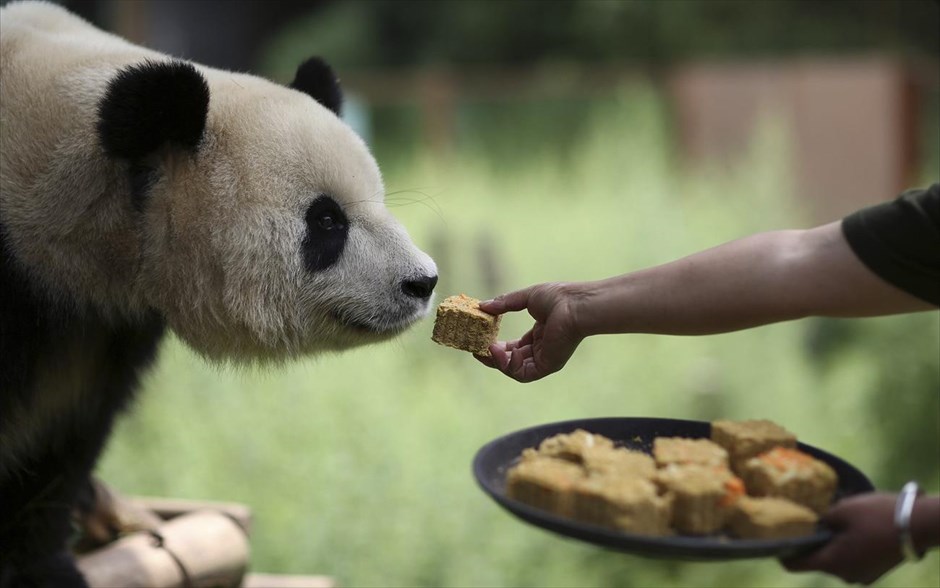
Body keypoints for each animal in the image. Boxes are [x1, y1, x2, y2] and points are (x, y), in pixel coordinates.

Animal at [0, 2, 436, 584]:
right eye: (326, 220)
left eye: (378, 199)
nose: (422, 282)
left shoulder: (103, 327)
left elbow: (63, 444)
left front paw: (41, 564)